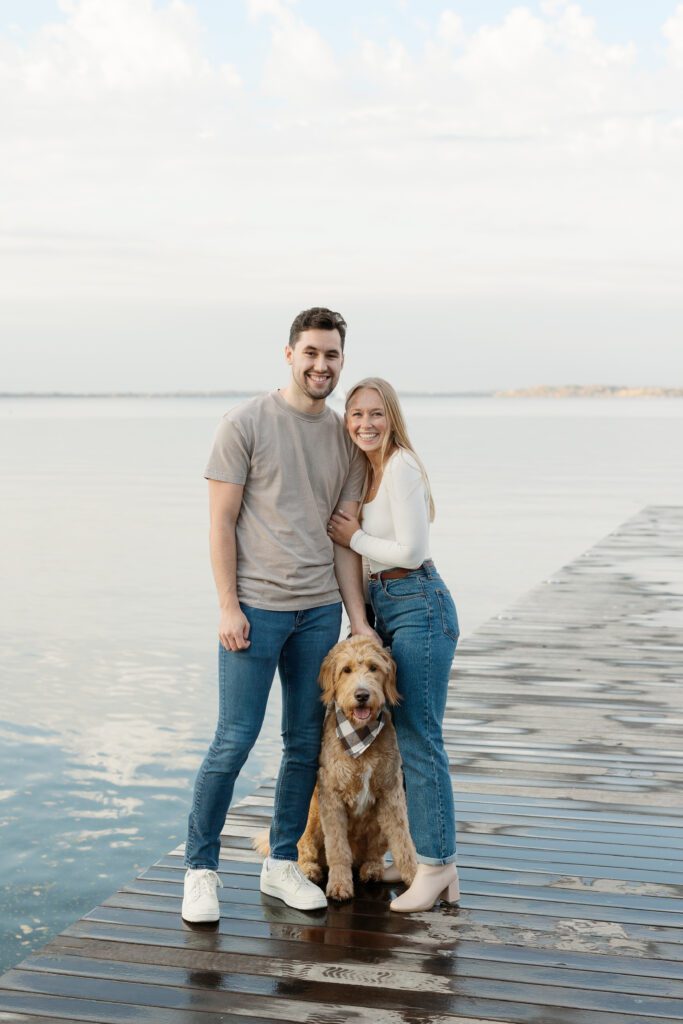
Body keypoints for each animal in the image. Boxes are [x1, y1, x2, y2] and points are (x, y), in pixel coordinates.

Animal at [255, 634, 417, 901]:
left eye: (373, 667)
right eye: (346, 670)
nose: (362, 695)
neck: (360, 737)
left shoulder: (391, 793)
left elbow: (404, 842)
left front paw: (416, 877)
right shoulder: (332, 798)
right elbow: (338, 849)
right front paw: (340, 886)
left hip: (377, 825)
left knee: (373, 853)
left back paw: (372, 868)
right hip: (311, 817)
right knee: (304, 850)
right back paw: (309, 870)